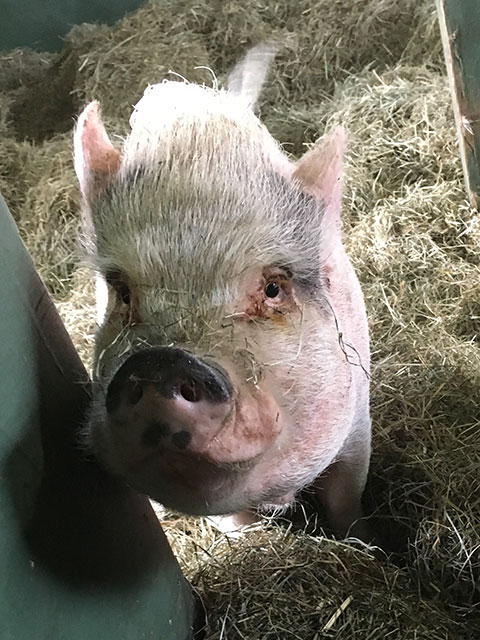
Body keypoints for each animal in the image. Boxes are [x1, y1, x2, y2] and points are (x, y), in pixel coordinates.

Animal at [73, 46, 372, 540]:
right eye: (123, 292)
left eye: (273, 288)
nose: (161, 361)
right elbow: (233, 523)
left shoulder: (358, 422)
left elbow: (346, 499)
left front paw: (366, 541)